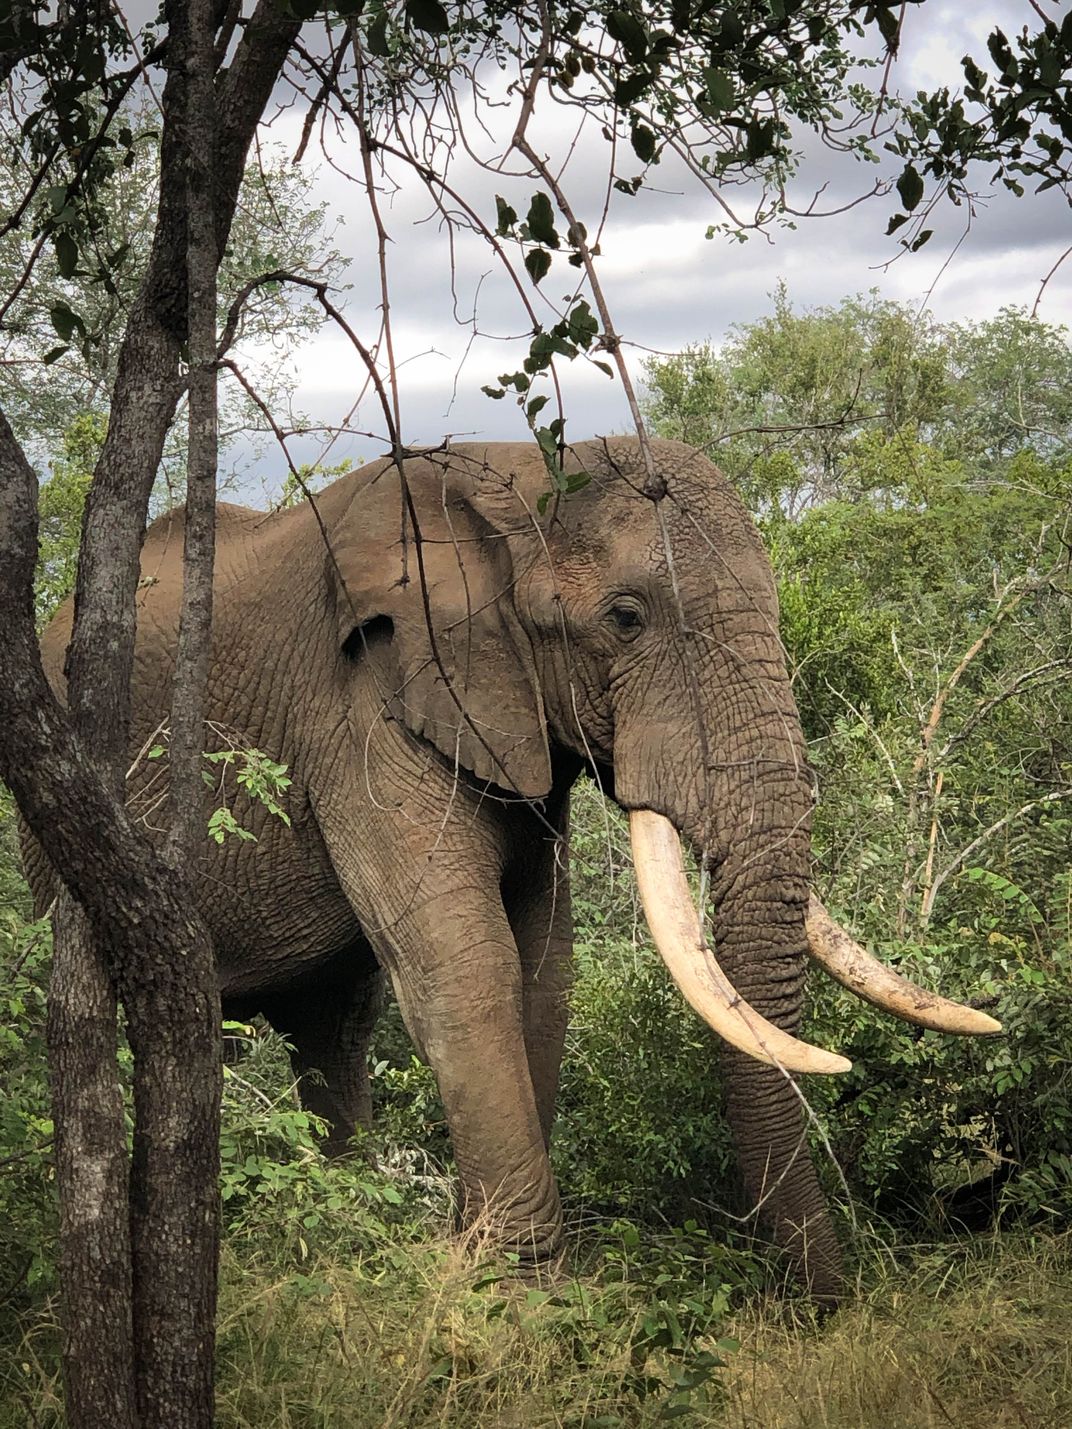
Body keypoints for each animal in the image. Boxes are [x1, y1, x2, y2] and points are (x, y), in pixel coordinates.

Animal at [29, 437, 1006, 1308]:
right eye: (625, 618)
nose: (827, 1307)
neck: (522, 476)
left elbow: (545, 964)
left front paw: (479, 1256)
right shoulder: (364, 704)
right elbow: (467, 962)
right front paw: (524, 1292)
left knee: (334, 1022)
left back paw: (348, 1222)